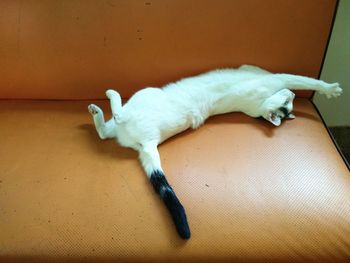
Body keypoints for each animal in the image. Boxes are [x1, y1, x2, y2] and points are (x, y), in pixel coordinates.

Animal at [87, 65, 342, 240]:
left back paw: (111, 96)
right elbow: (265, 71)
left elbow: (306, 80)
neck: (256, 107)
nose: (292, 95)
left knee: (118, 116)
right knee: (105, 132)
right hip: (126, 124)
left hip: (144, 96)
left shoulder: (276, 78)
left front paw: (329, 89)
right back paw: (98, 110)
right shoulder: (264, 75)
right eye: (287, 103)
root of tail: (150, 141)